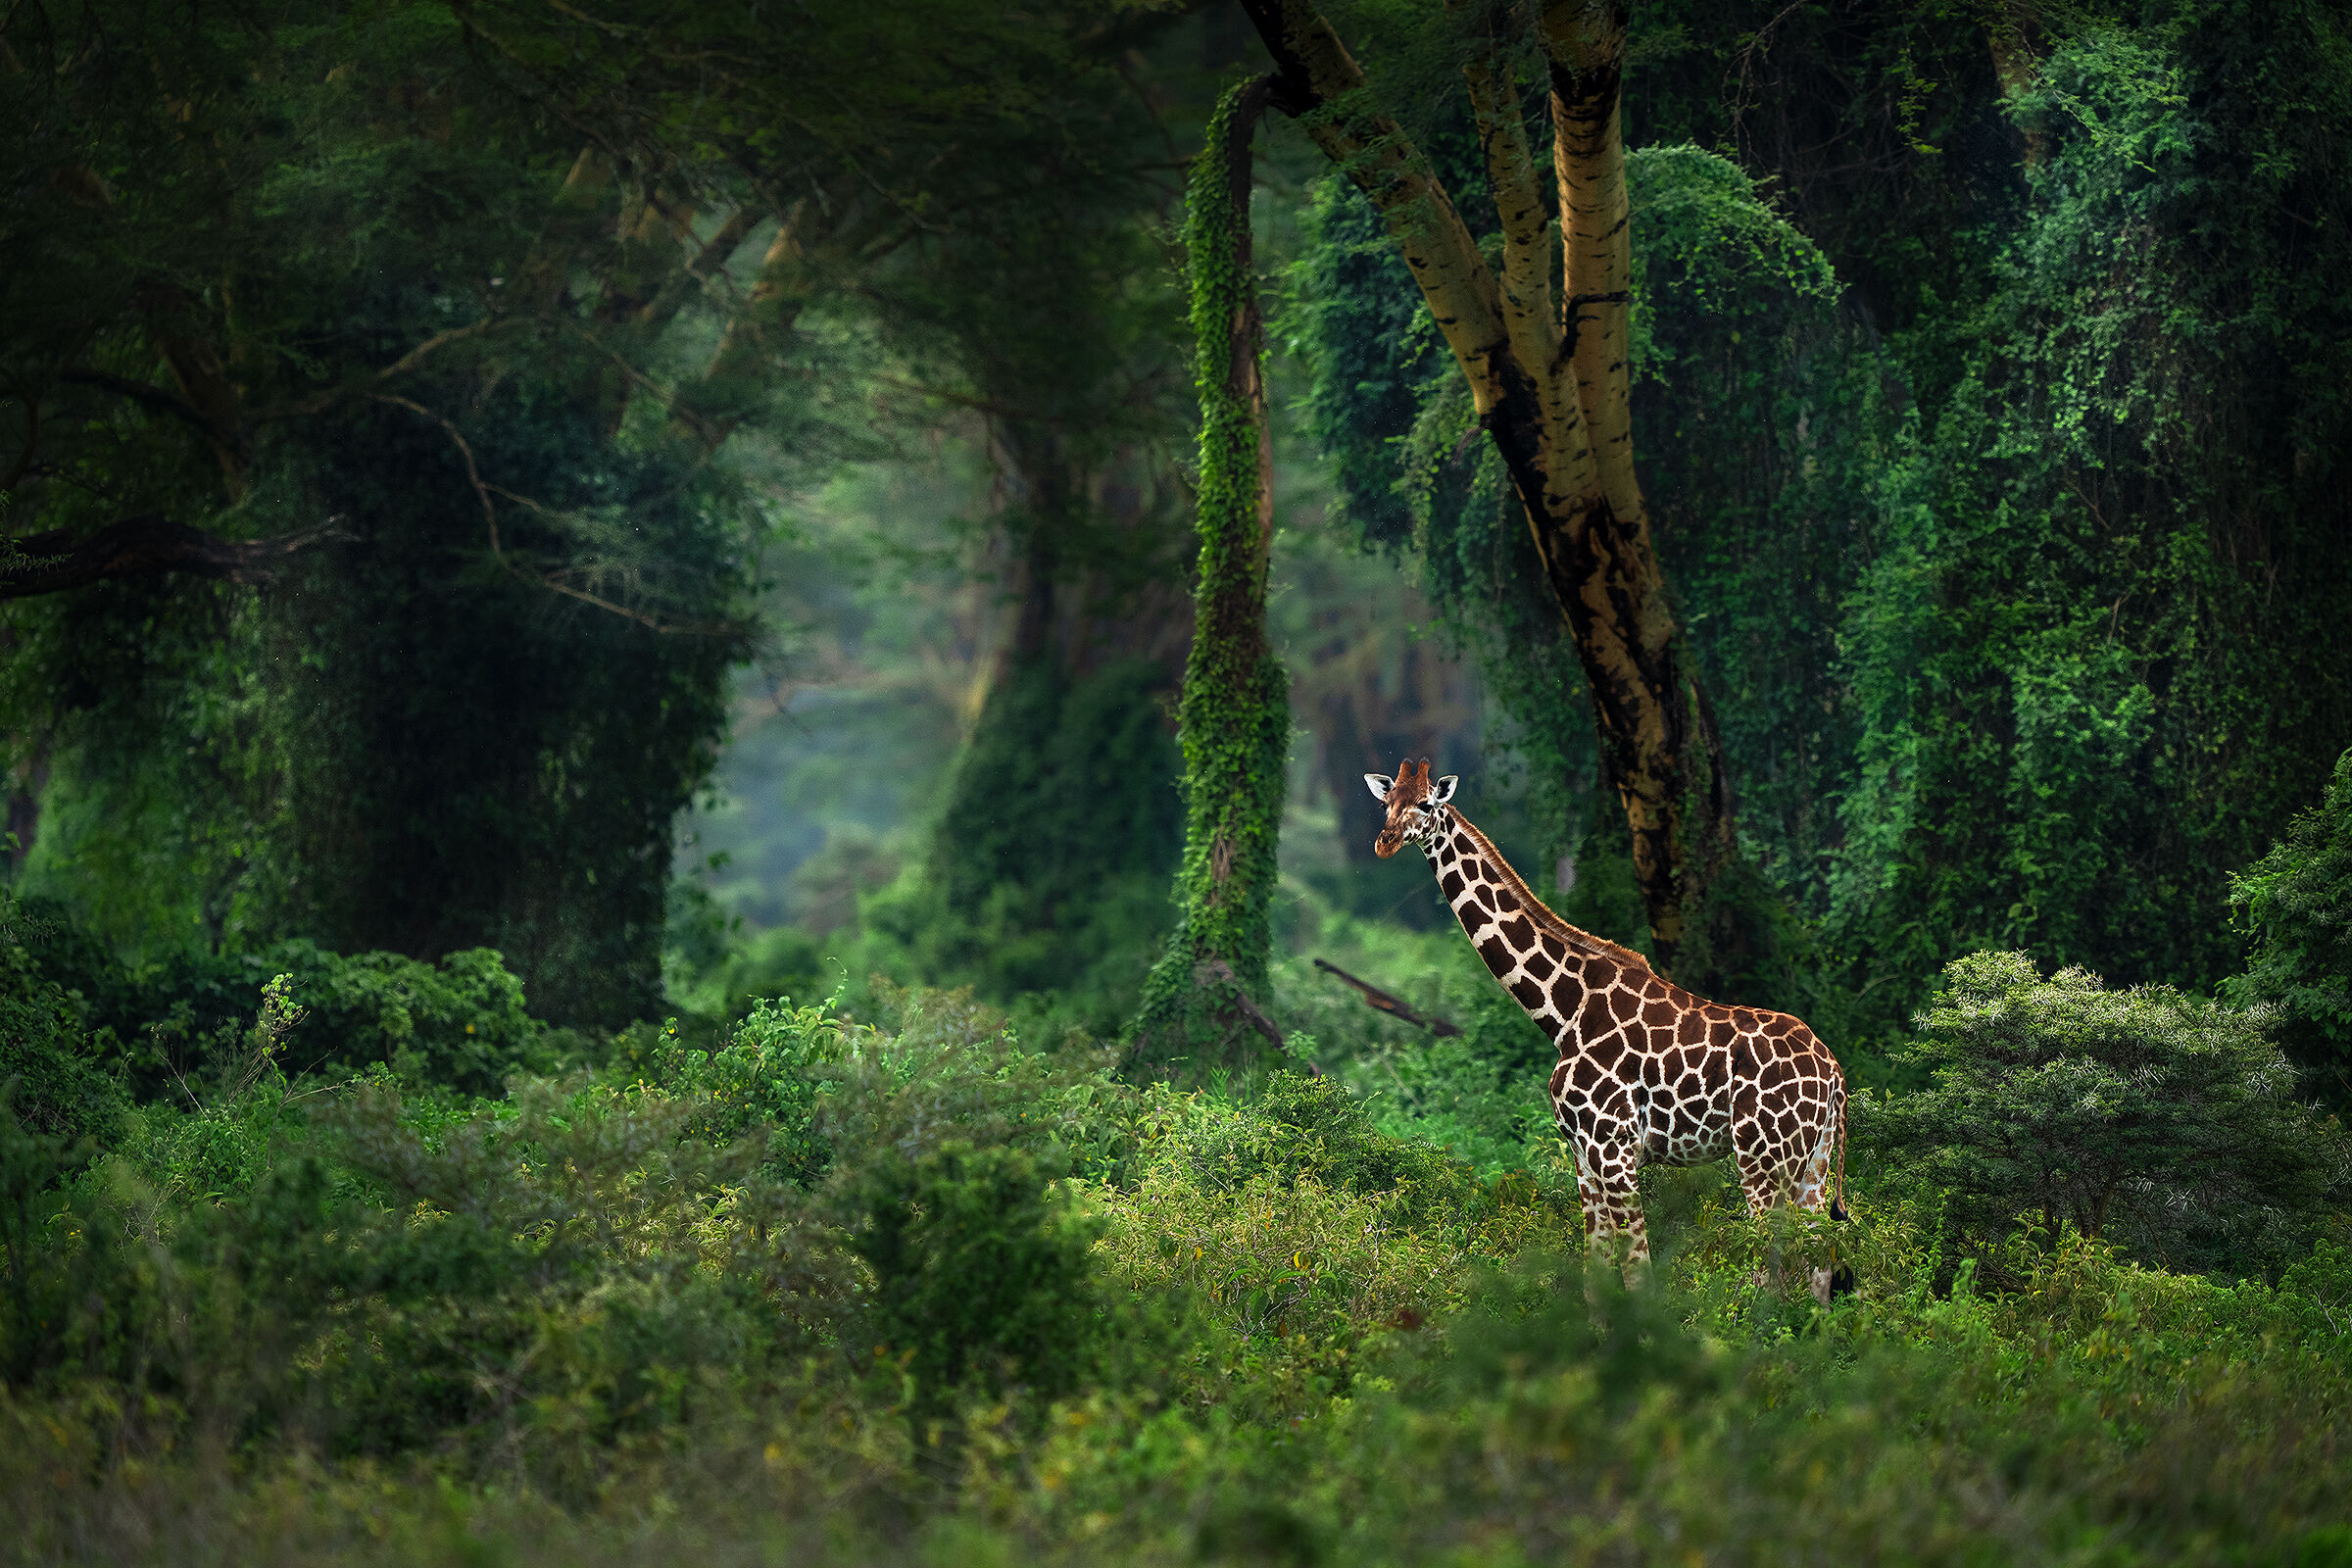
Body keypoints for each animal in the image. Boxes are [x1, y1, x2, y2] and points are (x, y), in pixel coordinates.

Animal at [1366, 759, 1851, 1296]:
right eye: (1387, 802)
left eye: (1425, 803)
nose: (1386, 841)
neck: (1563, 1011)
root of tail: (1833, 1073)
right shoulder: (1582, 1152)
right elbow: (1595, 1272)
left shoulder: (1613, 1146)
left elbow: (1637, 1270)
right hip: (1814, 1161)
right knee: (1818, 1267)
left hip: (1764, 1156)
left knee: (1775, 1267)